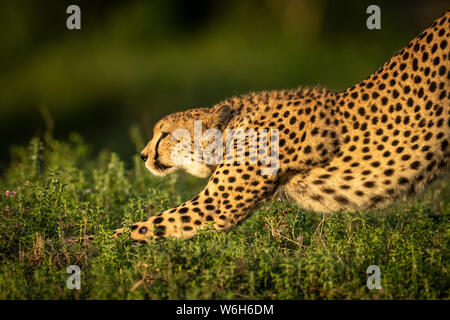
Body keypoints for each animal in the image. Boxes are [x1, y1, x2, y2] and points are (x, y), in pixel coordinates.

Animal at [113, 11, 450, 244]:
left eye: (165, 134)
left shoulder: (216, 205)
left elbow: (143, 227)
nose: (142, 155)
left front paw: (103, 246)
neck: (233, 127)